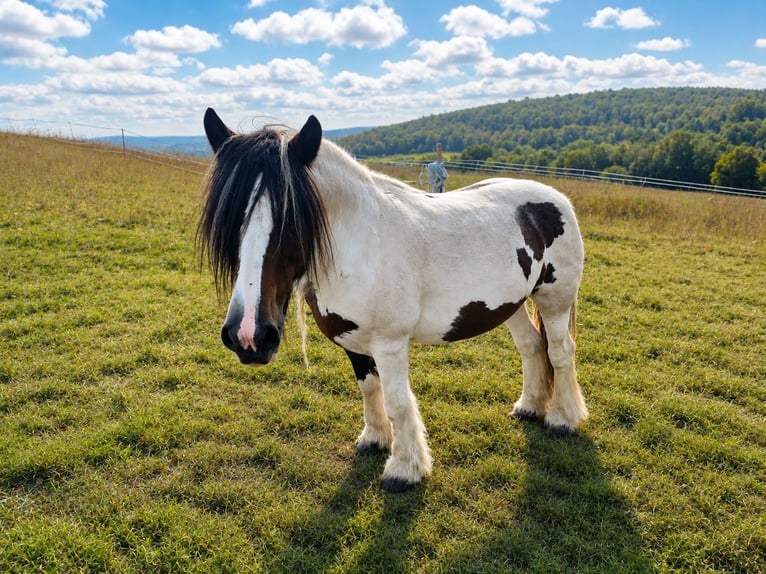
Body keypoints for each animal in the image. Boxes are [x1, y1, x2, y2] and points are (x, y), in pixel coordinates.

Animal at [197, 108, 588, 493]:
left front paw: (405, 469)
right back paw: (530, 407)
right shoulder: (352, 340)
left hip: (554, 301)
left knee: (559, 352)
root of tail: (555, 197)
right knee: (531, 347)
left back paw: (562, 418)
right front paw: (374, 439)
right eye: (227, 217)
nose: (249, 337)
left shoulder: (390, 344)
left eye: (293, 219)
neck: (362, 246)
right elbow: (370, 388)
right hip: (512, 304)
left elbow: (398, 402)